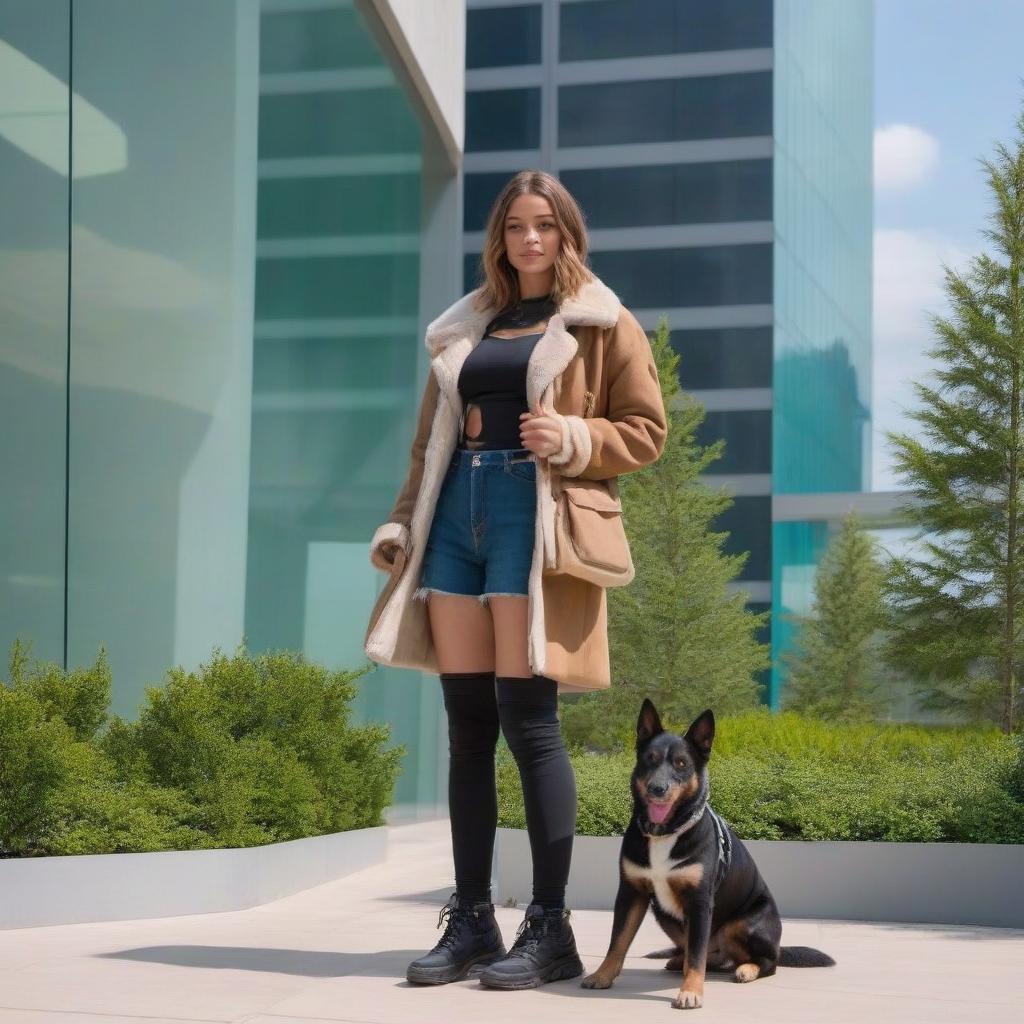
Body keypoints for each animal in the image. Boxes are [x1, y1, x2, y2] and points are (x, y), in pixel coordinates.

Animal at [581, 700, 835, 1003]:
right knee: (705, 955)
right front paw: (602, 975)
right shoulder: (631, 893)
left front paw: (691, 991)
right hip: (662, 911)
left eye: (681, 763)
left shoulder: (700, 901)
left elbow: (696, 956)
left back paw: (747, 969)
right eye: (650, 758)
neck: (666, 832)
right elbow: (617, 941)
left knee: (765, 962)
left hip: (745, 923)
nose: (657, 789)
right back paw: (682, 961)